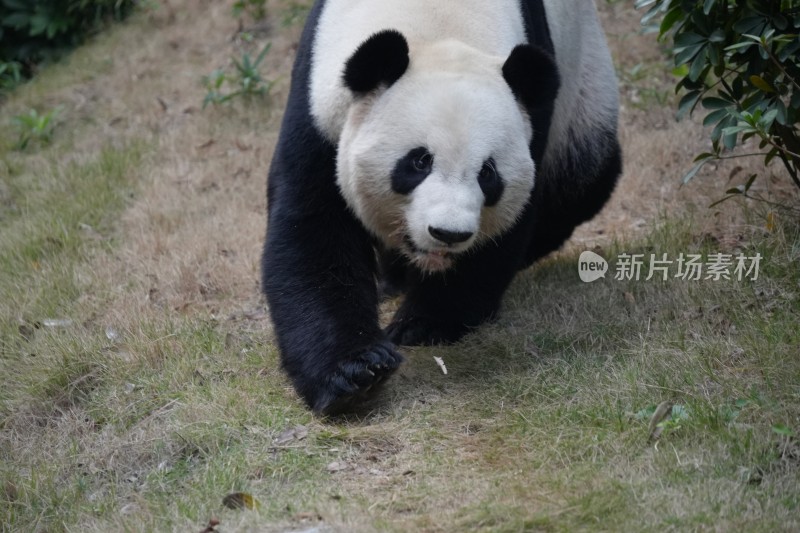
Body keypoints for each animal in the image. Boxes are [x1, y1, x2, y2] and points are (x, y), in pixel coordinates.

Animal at [260, 0, 620, 414]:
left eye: (487, 173)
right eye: (419, 162)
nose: (448, 234)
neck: (438, 23)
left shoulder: (534, 119)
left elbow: (504, 233)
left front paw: (425, 323)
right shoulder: (318, 105)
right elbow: (314, 229)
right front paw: (356, 372)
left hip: (585, 89)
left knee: (584, 179)